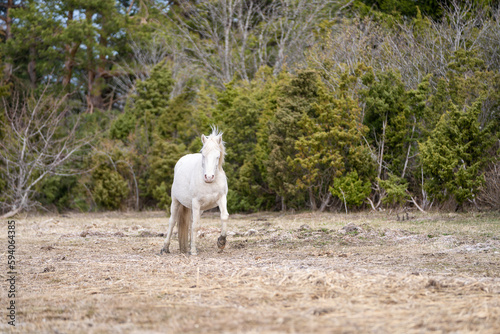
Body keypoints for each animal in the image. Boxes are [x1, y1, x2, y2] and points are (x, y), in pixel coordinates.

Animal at [160, 128, 229, 256]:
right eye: (203, 155)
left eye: (217, 156)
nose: (209, 177)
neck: (209, 184)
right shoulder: (196, 202)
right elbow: (195, 225)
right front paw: (192, 251)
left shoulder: (221, 198)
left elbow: (224, 217)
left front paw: (221, 242)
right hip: (176, 201)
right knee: (172, 222)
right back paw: (165, 248)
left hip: (198, 209)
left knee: (191, 222)